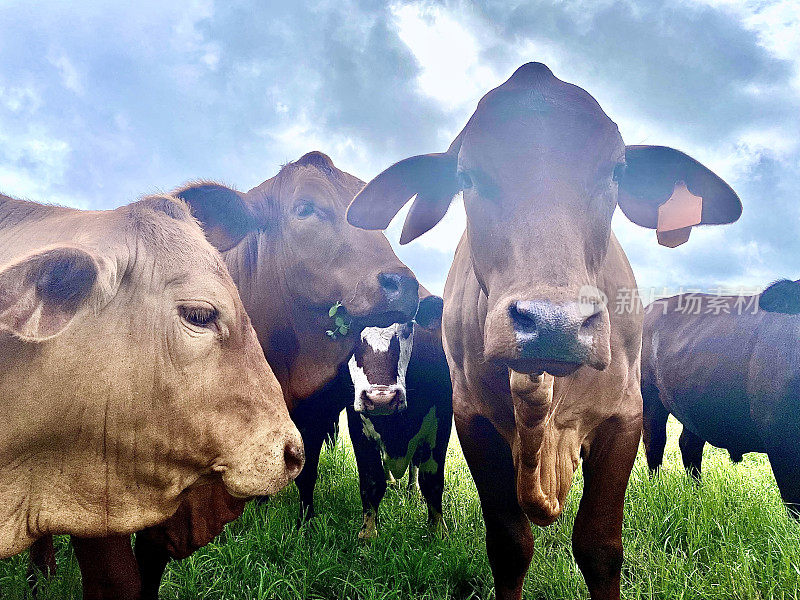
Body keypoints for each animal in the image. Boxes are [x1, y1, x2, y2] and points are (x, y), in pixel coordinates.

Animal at [346, 296, 454, 540]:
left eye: (408, 327)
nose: (381, 398)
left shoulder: (441, 422)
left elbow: (432, 480)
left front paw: (437, 530)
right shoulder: (358, 427)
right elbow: (371, 480)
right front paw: (368, 533)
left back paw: (412, 490)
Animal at [640, 278, 800, 512]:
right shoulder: (780, 440)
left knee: (689, 445)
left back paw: (697, 495)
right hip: (650, 398)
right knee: (655, 442)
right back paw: (655, 491)